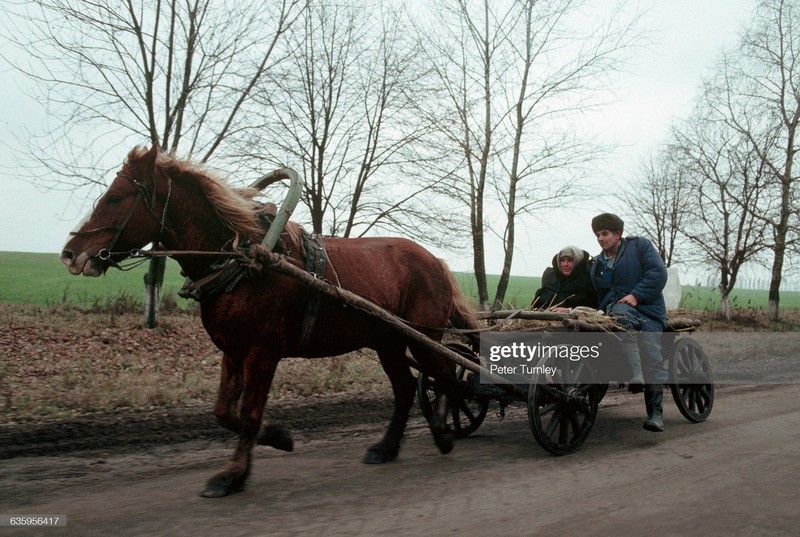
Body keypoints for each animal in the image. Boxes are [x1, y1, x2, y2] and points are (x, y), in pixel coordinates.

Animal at [61, 146, 482, 498]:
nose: (70, 254)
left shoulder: (262, 352)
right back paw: (388, 447)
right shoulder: (233, 351)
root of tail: (435, 261)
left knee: (446, 377)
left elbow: (248, 413)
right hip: (388, 341)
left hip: (422, 336)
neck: (241, 258)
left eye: (115, 198)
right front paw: (278, 437)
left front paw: (233, 475)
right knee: (409, 387)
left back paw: (444, 432)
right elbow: (224, 412)